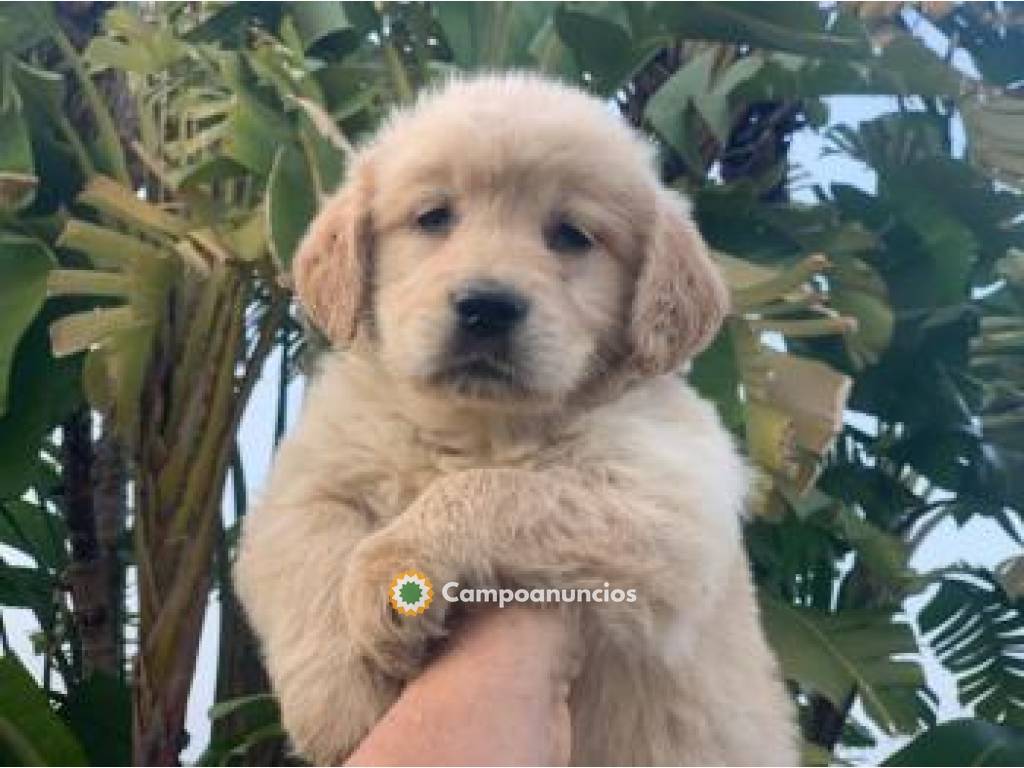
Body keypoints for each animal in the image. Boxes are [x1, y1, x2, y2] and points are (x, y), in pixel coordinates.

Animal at [234, 70, 798, 765]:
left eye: (571, 235)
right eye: (434, 217)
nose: (487, 308)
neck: (474, 423)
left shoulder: (668, 506)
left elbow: (504, 488)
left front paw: (394, 566)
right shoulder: (304, 479)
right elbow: (307, 547)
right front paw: (342, 702)